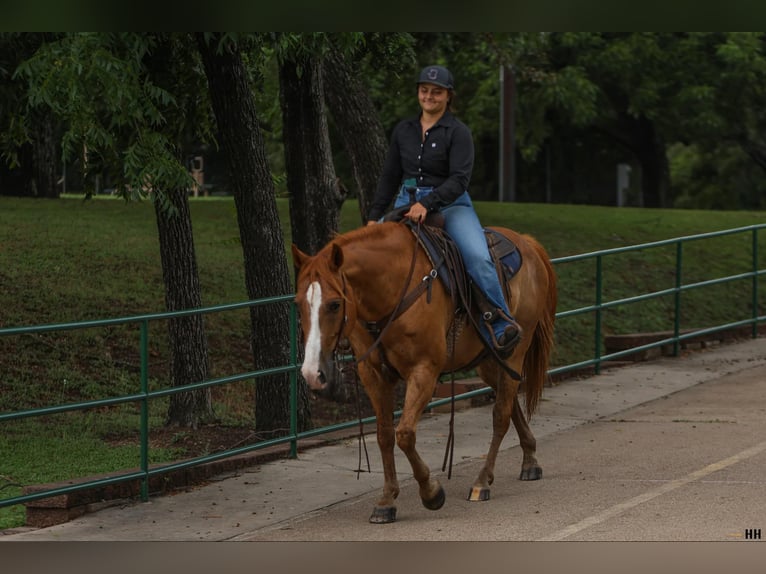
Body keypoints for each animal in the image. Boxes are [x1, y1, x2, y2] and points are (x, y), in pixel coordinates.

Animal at [292, 218, 560, 524]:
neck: (391, 290)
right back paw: (529, 459)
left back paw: (482, 481)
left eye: (335, 304)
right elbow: (384, 435)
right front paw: (387, 500)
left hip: (515, 352)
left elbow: (405, 434)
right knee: (510, 402)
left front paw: (431, 492)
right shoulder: (373, 374)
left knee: (501, 415)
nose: (312, 373)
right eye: (298, 303)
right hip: (490, 362)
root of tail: (528, 243)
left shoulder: (424, 371)